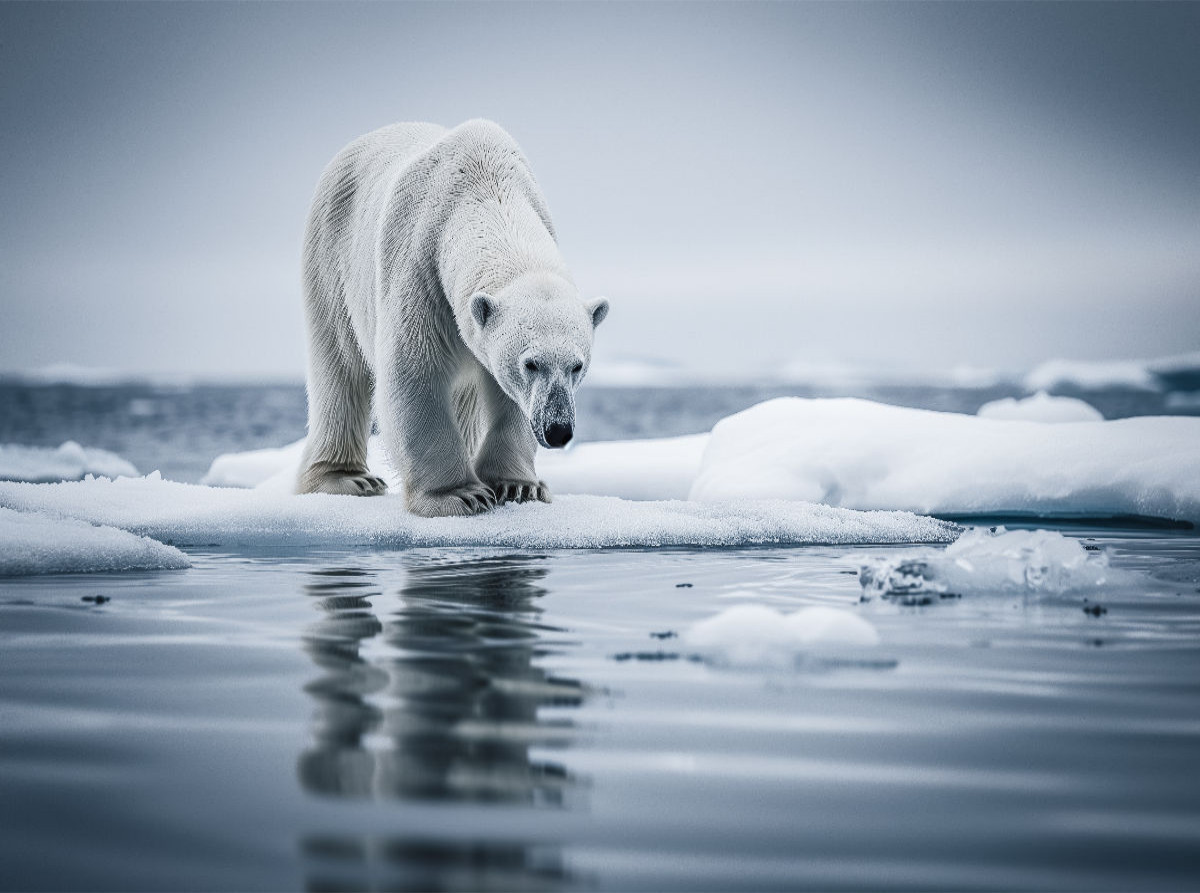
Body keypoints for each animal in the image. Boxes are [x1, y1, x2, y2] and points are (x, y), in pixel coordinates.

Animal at [295, 121, 604, 520]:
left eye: (577, 366)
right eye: (531, 364)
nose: (558, 429)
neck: (483, 187)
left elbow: (505, 397)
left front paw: (519, 486)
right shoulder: (420, 266)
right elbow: (413, 372)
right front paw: (459, 495)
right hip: (331, 254)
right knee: (339, 361)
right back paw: (348, 478)